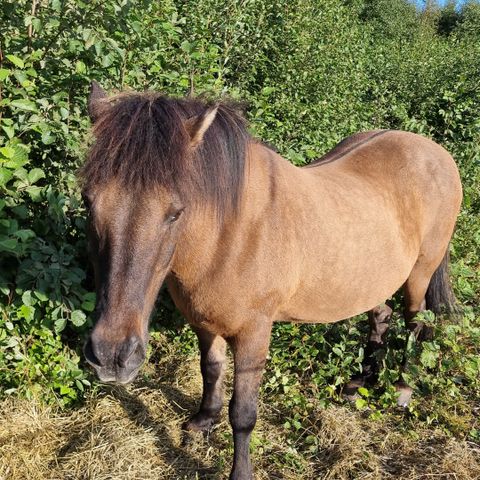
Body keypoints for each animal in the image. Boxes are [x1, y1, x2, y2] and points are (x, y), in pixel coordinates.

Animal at [81, 82, 462, 480]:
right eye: (88, 201)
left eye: (175, 212)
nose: (112, 356)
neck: (230, 235)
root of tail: (435, 152)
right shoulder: (204, 323)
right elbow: (210, 371)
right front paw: (202, 422)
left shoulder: (254, 333)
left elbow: (243, 413)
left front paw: (239, 470)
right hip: (372, 278)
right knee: (381, 315)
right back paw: (358, 383)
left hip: (420, 274)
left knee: (416, 323)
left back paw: (403, 388)